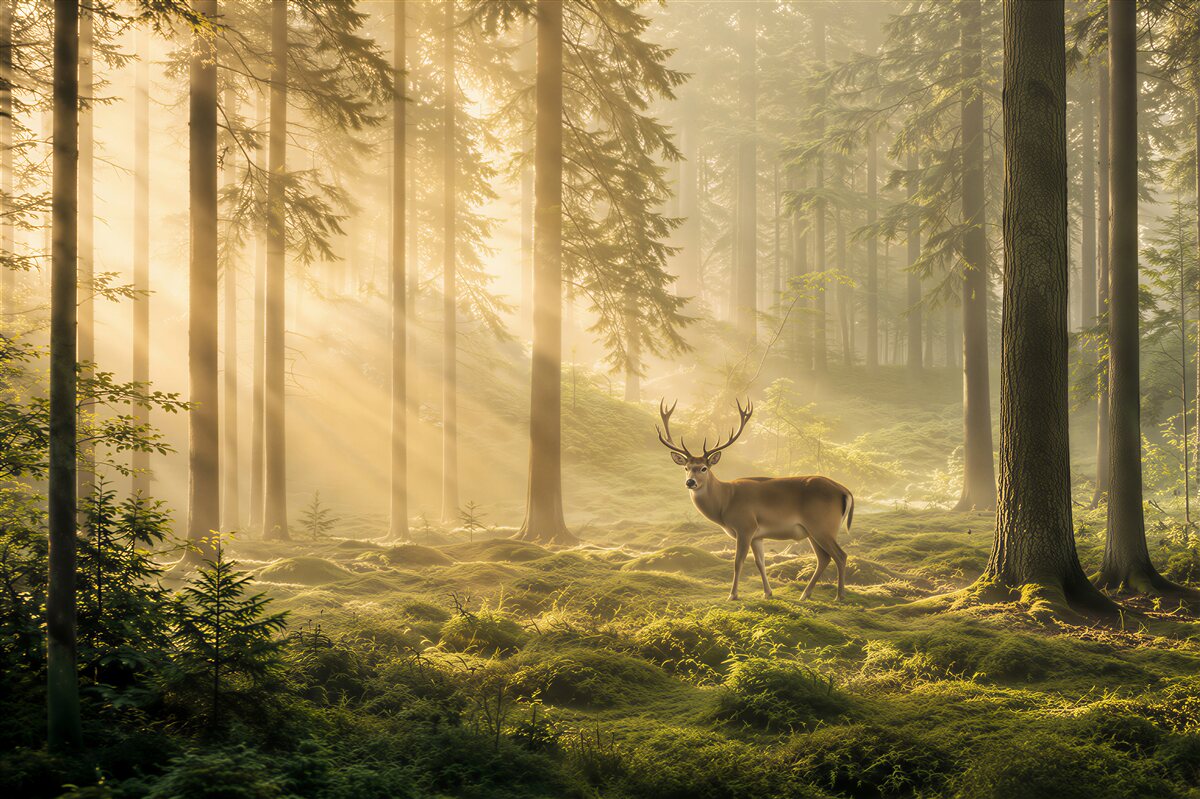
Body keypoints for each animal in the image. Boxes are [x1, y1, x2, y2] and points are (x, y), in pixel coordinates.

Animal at [656, 399, 853, 601]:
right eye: (686, 468)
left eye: (704, 468)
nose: (690, 482)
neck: (725, 502)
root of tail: (845, 491)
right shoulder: (757, 535)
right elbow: (760, 562)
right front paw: (768, 593)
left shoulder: (745, 526)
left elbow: (738, 561)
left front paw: (732, 595)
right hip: (813, 530)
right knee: (824, 558)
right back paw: (805, 595)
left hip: (822, 525)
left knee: (841, 555)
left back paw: (839, 596)